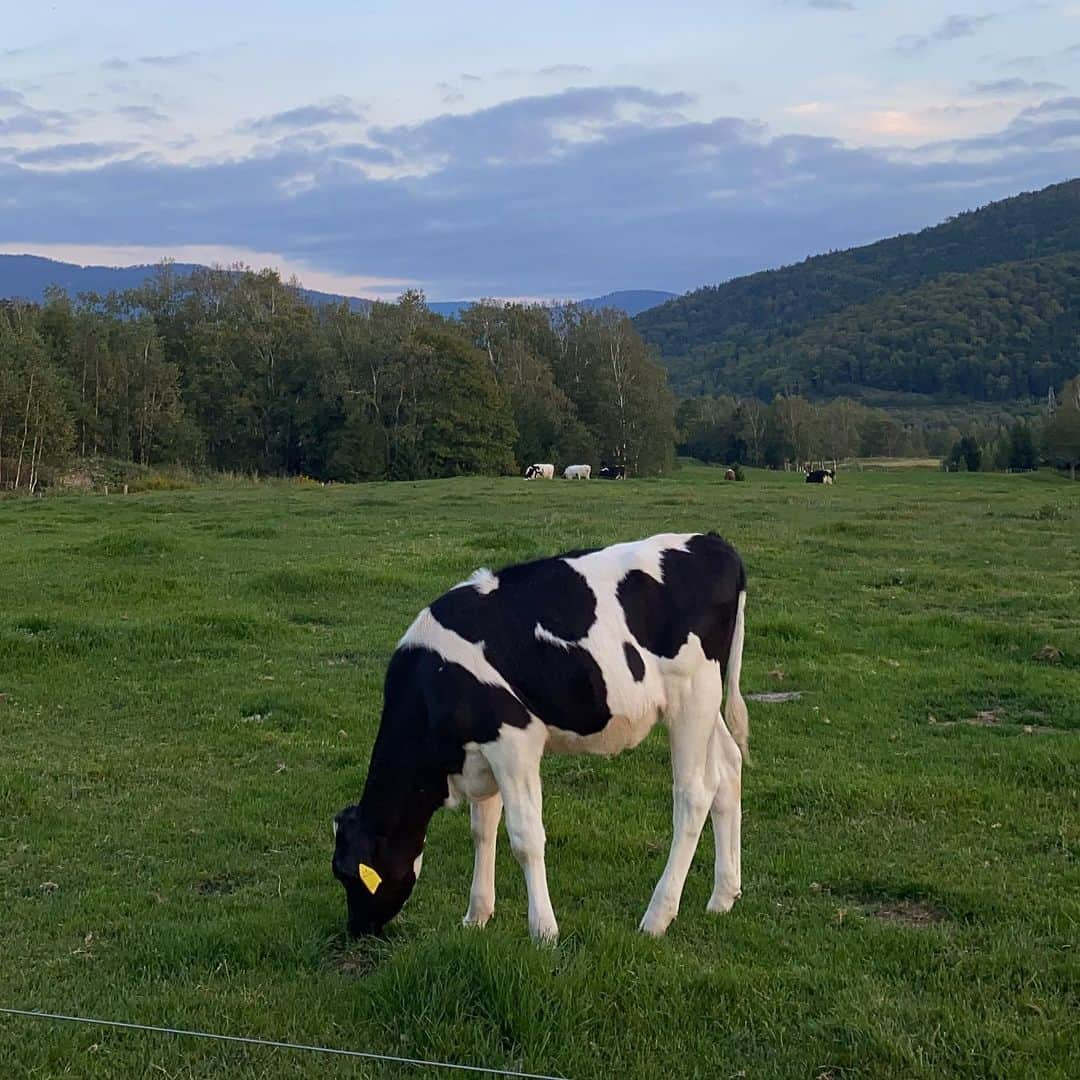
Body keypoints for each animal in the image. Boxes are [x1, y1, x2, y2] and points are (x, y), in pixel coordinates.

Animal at [332, 535, 747, 941]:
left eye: (348, 874)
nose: (356, 929)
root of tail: (712, 542)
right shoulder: (483, 752)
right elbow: (482, 830)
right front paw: (477, 916)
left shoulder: (514, 740)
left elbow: (524, 838)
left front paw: (543, 930)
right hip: (707, 703)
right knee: (728, 767)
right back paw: (722, 897)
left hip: (692, 696)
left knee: (694, 795)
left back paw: (657, 917)